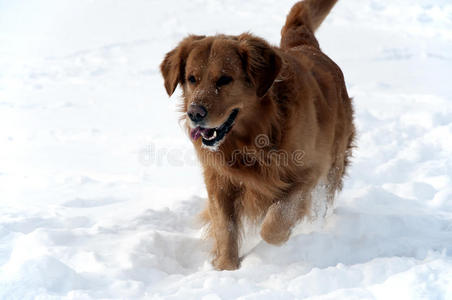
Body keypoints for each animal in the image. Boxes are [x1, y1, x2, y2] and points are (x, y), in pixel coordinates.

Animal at [161, 0, 354, 270]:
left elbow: (276, 221)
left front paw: (270, 246)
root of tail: (305, 46)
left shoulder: (308, 172)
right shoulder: (219, 180)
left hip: (333, 165)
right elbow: (225, 227)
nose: (194, 113)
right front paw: (226, 267)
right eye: (192, 79)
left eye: (224, 79)